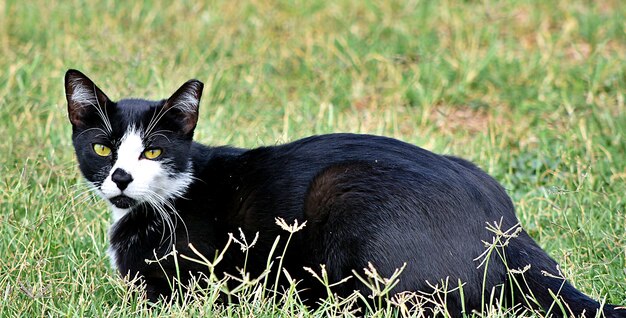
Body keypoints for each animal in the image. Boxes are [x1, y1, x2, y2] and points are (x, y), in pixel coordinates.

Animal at [66, 70, 620, 318]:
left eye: (153, 152)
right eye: (103, 147)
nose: (121, 177)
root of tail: (508, 230)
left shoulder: (186, 287)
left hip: (344, 198)